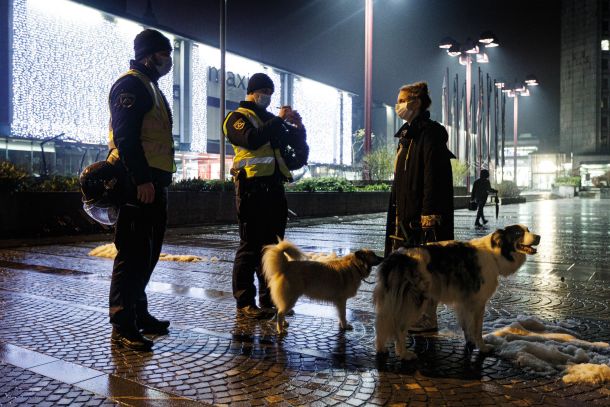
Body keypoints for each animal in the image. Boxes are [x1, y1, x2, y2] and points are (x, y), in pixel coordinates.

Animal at [372, 225, 540, 362]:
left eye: (528, 230)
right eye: (518, 233)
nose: (539, 237)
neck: (494, 252)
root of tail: (396, 257)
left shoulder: (464, 302)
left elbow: (467, 326)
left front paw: (470, 343)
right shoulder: (478, 302)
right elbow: (477, 329)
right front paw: (482, 347)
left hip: (391, 302)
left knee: (381, 325)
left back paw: (382, 349)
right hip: (414, 301)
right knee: (399, 328)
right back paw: (404, 354)